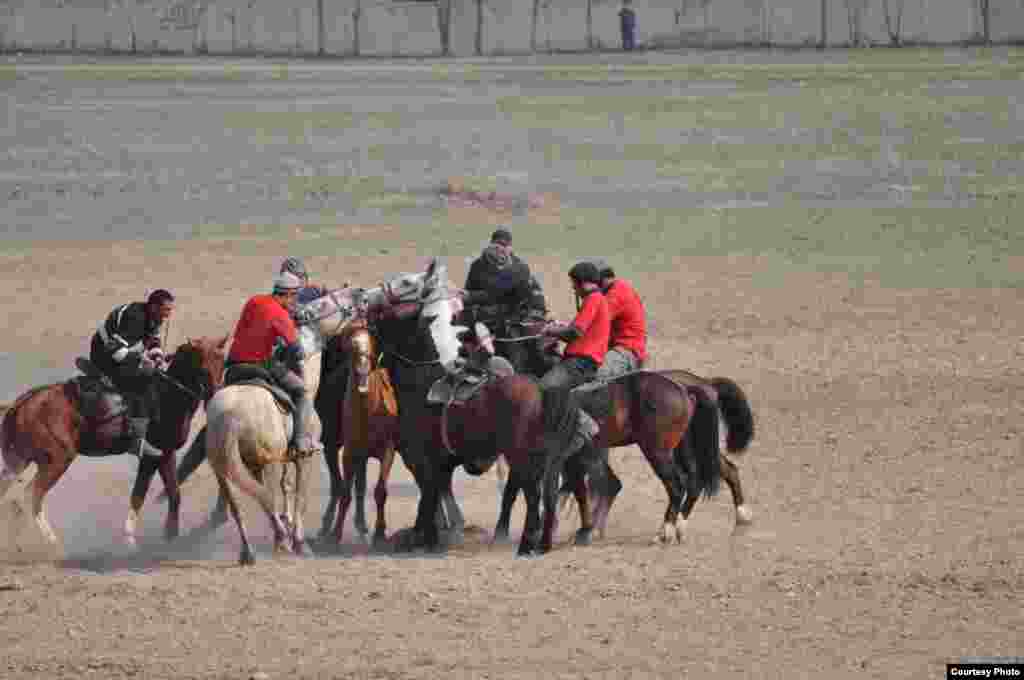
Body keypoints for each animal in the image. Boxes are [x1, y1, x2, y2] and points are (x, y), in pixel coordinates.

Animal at [0, 337, 226, 548]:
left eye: (222, 363)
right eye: (203, 367)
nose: (215, 397)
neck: (167, 397)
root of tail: (24, 402)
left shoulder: (164, 455)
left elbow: (173, 493)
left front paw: (169, 535)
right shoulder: (153, 457)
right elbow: (140, 494)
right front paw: (131, 540)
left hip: (20, 460)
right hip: (56, 461)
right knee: (33, 495)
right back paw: (50, 542)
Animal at [197, 284, 362, 561]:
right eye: (324, 304)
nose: (358, 292)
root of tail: (228, 416)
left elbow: (286, 491)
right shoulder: (304, 458)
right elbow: (299, 498)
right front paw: (300, 541)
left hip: (226, 468)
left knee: (240, 505)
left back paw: (250, 551)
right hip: (267, 463)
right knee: (267, 498)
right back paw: (283, 539)